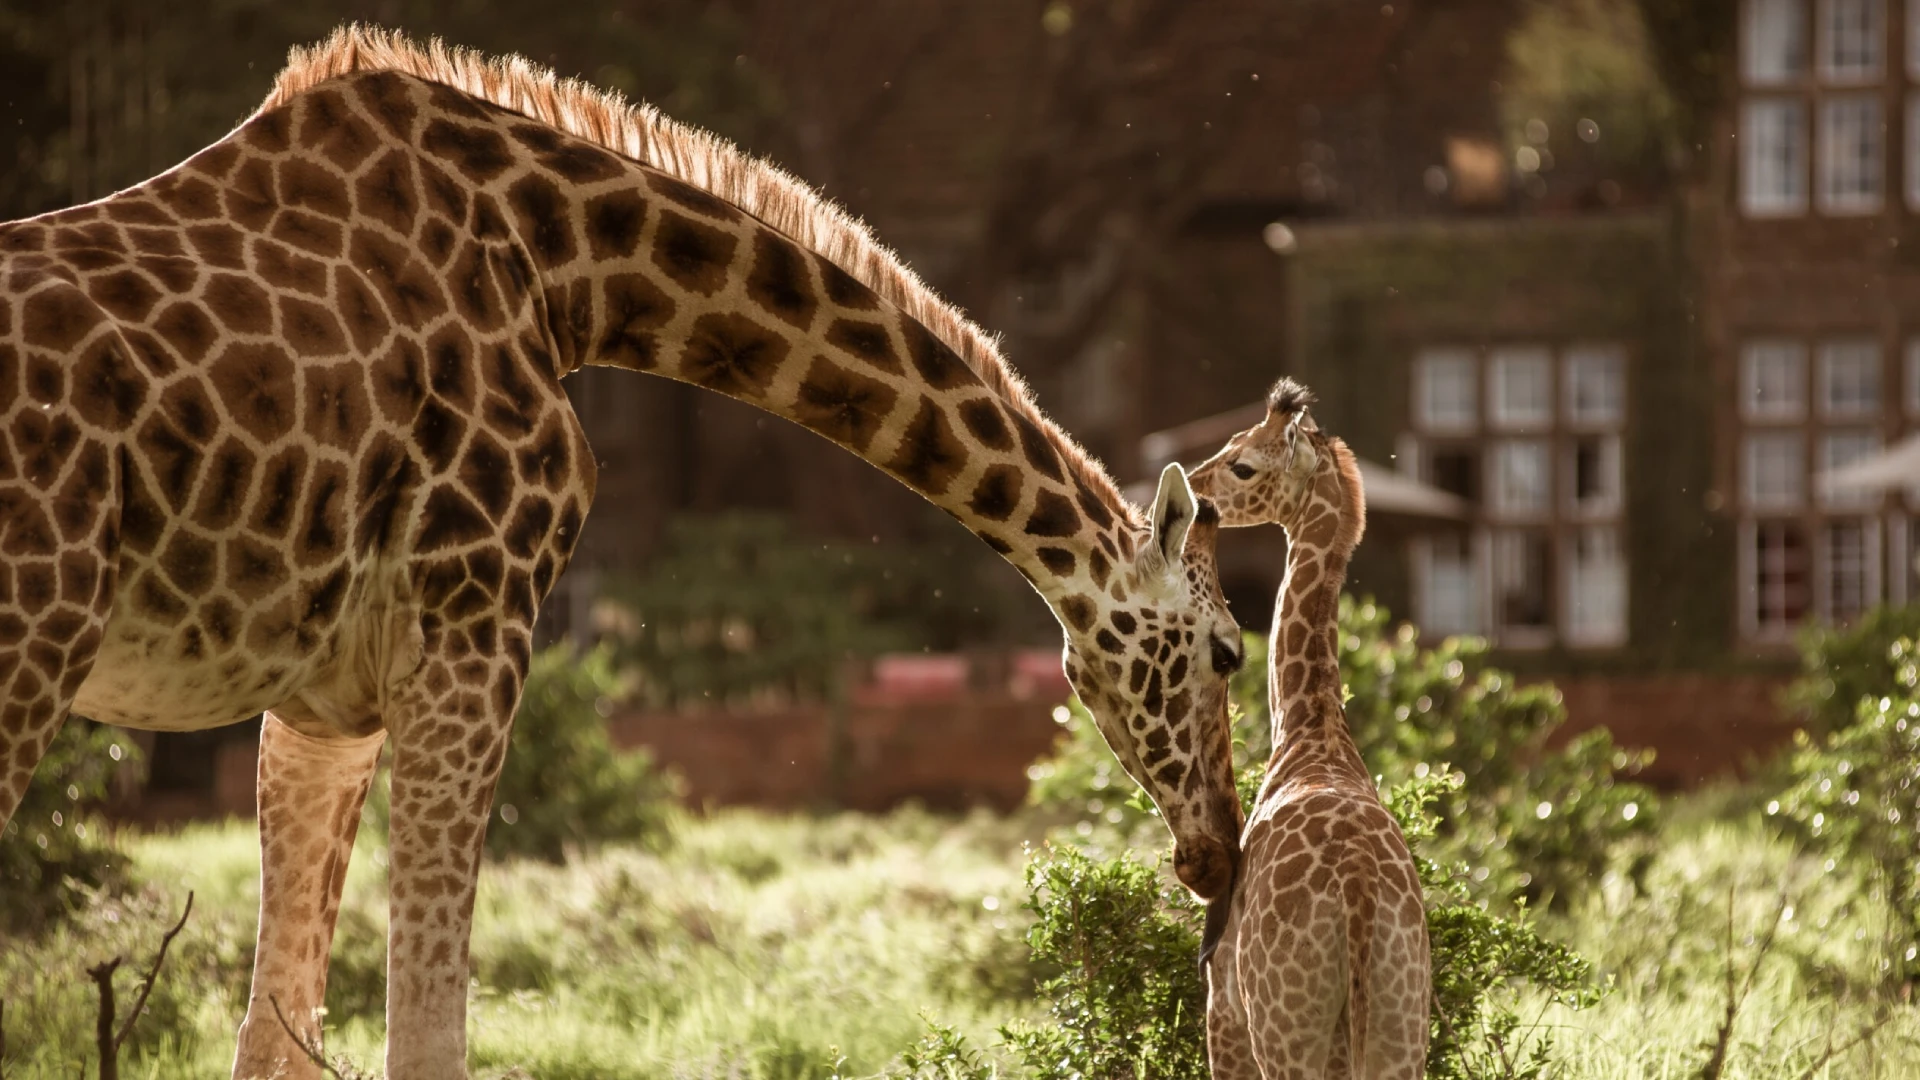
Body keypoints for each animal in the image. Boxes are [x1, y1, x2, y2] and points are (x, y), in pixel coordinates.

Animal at [0, 27, 1250, 1080]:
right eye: (1230, 651)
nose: (1218, 857)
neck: (570, 272)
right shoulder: (475, 624)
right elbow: (428, 1030)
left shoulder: (322, 704)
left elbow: (279, 1035)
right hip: (36, 648)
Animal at [1187, 379, 1430, 1080]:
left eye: (1243, 464)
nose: (1193, 487)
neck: (1311, 733)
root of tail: (1358, 898)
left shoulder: (1223, 1005)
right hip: (1401, 1029)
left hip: (1283, 1029)